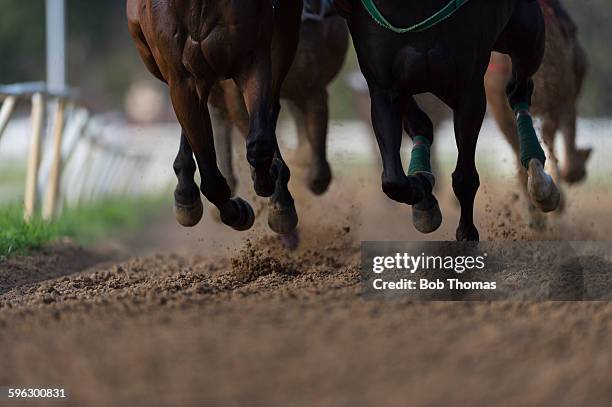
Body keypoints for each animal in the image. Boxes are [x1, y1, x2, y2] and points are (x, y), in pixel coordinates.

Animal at [126, 0, 304, 234]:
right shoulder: (181, 79)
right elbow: (211, 179)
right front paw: (237, 212)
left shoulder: (252, 57)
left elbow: (260, 142)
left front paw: (269, 180)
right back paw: (186, 193)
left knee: (270, 108)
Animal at [340, 0, 560, 241]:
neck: (411, 7)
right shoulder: (383, 87)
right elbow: (393, 181)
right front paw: (423, 190)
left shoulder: (468, 90)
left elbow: (465, 176)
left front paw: (466, 233)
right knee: (421, 124)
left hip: (527, 38)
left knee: (518, 90)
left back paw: (540, 182)